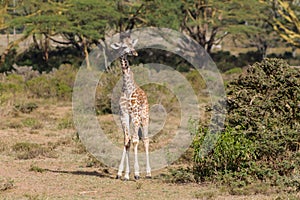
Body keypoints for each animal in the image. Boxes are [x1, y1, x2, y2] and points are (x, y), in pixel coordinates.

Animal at [110, 35, 151, 180]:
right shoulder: (124, 115)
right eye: (123, 46)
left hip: (144, 117)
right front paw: (125, 174)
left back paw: (148, 173)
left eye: (132, 44)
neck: (127, 88)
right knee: (131, 139)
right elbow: (126, 141)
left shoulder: (135, 115)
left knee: (145, 139)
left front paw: (136, 173)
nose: (135, 52)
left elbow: (135, 141)